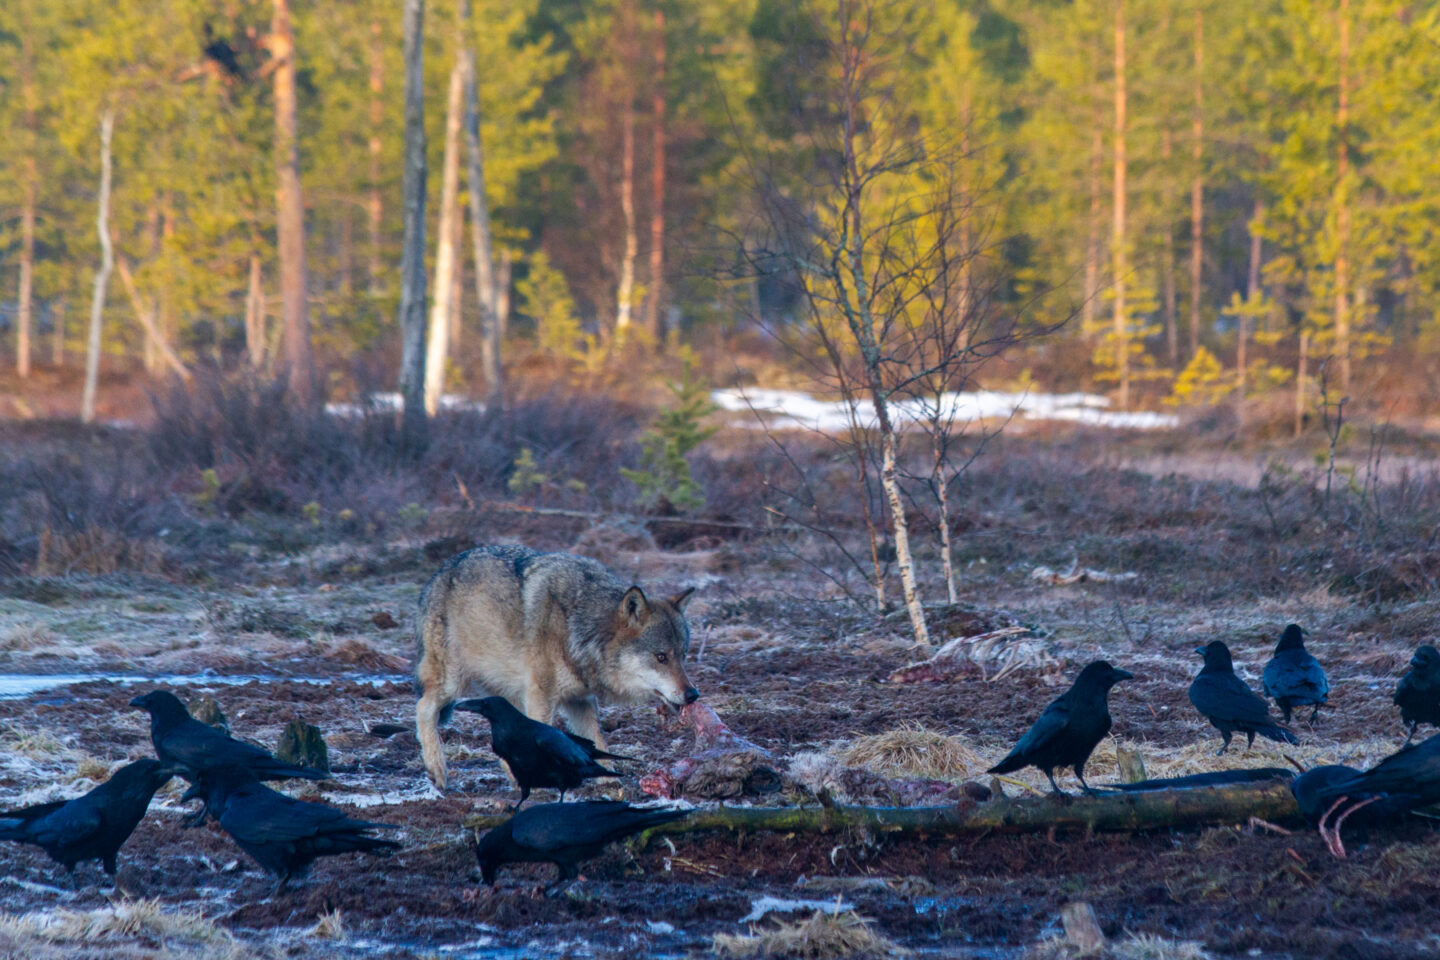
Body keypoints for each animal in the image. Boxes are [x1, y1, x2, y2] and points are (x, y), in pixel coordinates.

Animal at [413, 544, 699, 789]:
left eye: (683, 655)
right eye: (661, 657)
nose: (693, 694)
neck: (579, 629)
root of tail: (439, 572)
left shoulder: (580, 700)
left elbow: (598, 740)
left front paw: (609, 782)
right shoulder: (541, 695)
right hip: (452, 682)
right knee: (423, 707)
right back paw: (437, 771)